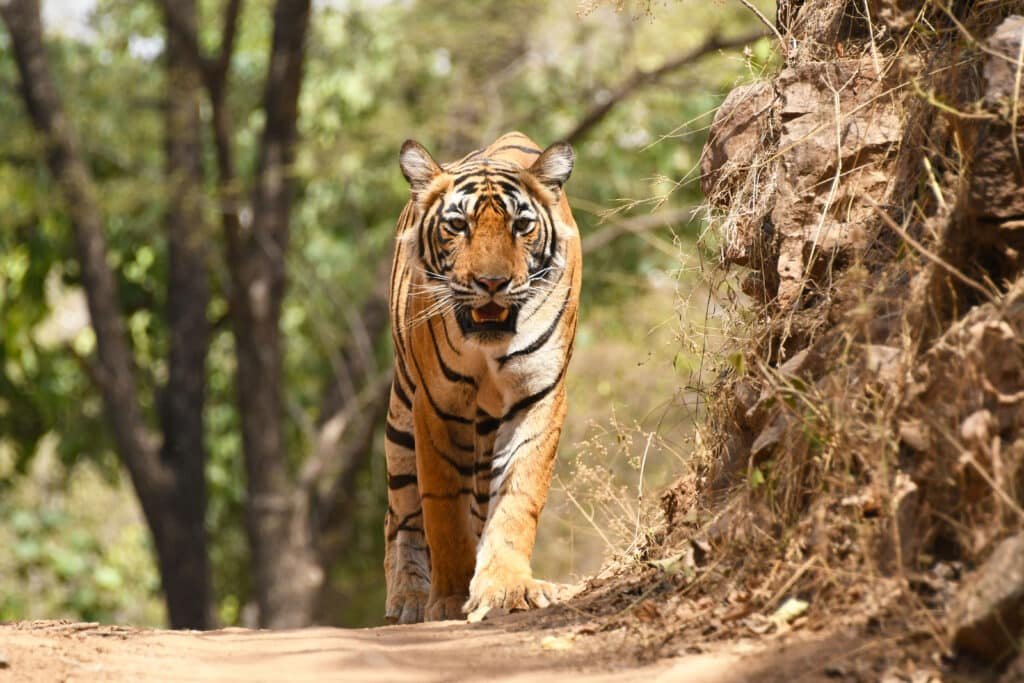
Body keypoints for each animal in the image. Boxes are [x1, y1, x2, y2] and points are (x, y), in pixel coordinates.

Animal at [384, 131, 582, 623]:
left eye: (521, 226)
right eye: (458, 226)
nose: (492, 283)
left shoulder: (539, 395)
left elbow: (517, 495)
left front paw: (506, 587)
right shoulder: (436, 404)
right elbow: (442, 509)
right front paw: (449, 599)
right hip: (400, 418)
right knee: (401, 516)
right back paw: (408, 597)